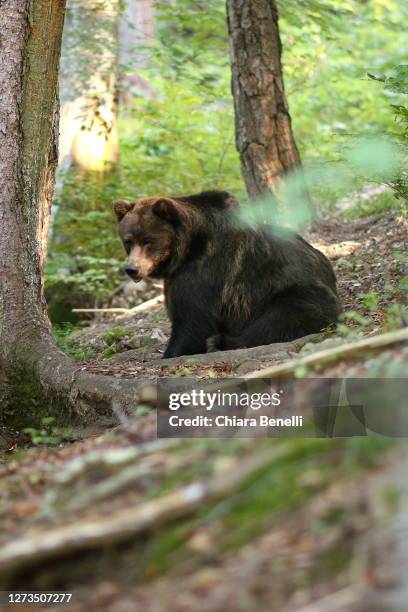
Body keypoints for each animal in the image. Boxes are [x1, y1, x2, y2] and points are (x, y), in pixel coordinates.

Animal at [113, 191, 340, 358]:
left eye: (148, 241)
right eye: (128, 240)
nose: (132, 269)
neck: (187, 248)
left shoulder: (205, 268)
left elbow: (192, 319)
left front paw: (172, 352)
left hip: (295, 290)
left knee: (286, 315)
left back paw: (219, 341)